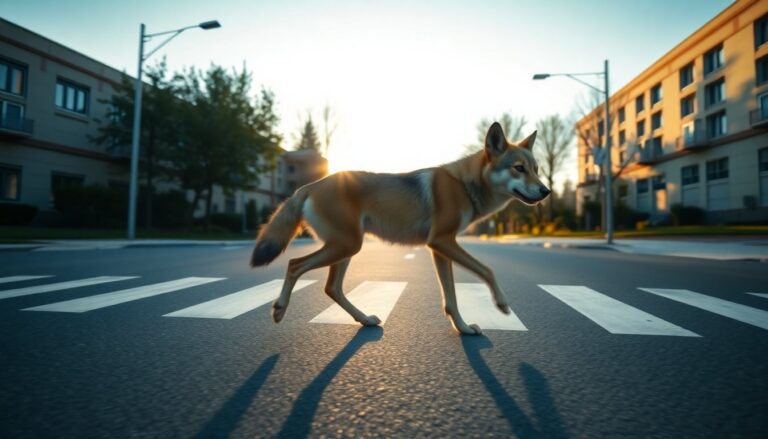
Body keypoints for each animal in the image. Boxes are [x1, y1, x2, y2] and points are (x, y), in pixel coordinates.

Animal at [250, 122, 550, 335]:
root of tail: (310, 186)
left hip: (345, 248)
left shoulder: (439, 248)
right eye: (519, 168)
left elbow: (451, 298)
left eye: (536, 169)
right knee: (295, 265)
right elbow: (487, 270)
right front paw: (501, 303)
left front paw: (463, 329)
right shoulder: (443, 242)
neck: (463, 185)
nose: (546, 191)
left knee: (331, 288)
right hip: (346, 246)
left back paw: (365, 319)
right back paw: (279, 309)